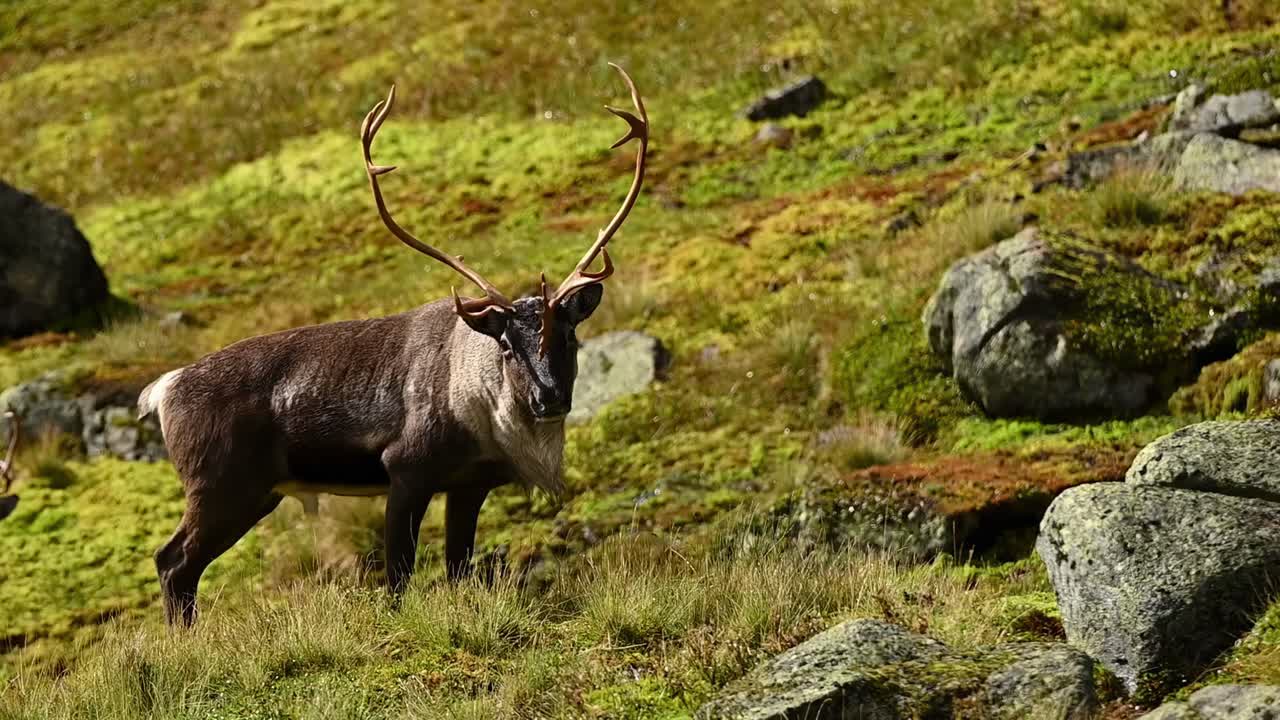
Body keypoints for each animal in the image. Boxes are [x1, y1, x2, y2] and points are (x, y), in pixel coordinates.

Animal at [137, 64, 648, 626]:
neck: (481, 413)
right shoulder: (405, 469)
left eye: (570, 335)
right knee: (174, 561)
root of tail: (161, 390)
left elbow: (458, 568)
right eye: (507, 346)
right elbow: (399, 575)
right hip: (222, 485)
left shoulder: (470, 484)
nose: (549, 397)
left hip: (250, 492)